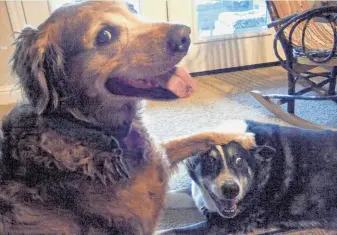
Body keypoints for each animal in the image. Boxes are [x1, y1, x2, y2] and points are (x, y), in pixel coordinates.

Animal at [0, 0, 255, 234]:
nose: (185, 35)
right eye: (104, 35)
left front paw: (237, 134)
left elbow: (194, 136)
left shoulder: (158, 156)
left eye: (131, 8)